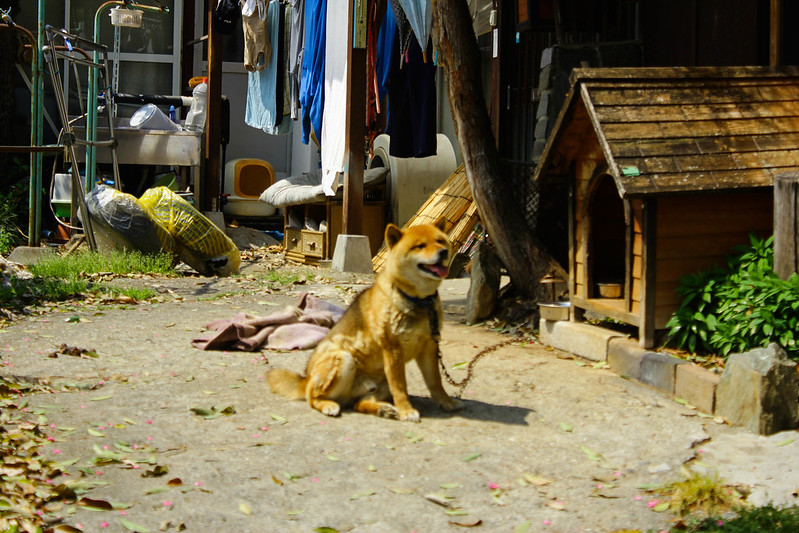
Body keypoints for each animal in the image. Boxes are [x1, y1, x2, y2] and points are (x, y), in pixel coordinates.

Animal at [270, 216, 462, 420]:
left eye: (440, 241)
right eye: (420, 246)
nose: (443, 252)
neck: (418, 300)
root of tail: (306, 379)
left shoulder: (429, 347)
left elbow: (436, 382)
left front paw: (447, 403)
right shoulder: (393, 349)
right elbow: (400, 386)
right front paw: (406, 410)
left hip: (380, 382)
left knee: (358, 404)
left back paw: (383, 409)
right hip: (344, 359)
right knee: (312, 397)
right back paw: (329, 405)